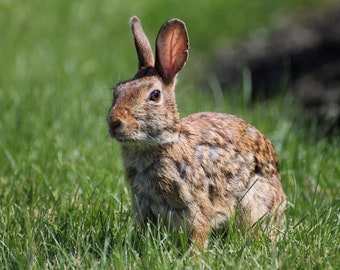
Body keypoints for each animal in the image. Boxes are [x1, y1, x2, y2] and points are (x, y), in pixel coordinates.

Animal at [105, 16, 284, 249]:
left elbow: (198, 232)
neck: (162, 145)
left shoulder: (194, 208)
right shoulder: (145, 207)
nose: (114, 123)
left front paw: (194, 255)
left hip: (252, 200)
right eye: (117, 90)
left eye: (155, 95)